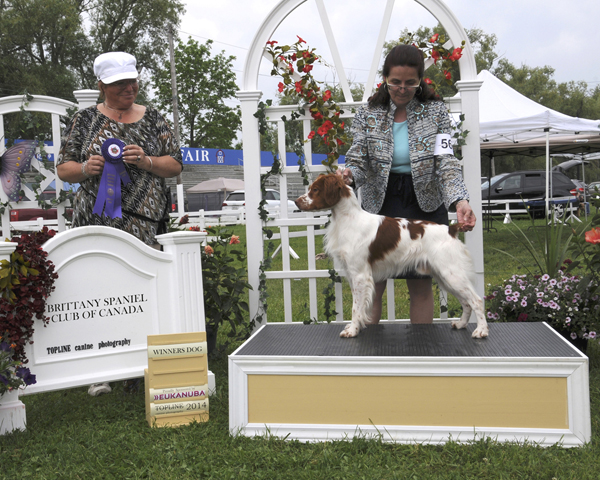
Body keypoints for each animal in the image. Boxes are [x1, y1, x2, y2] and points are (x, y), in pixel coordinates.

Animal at [296, 174, 488, 340]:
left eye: (315, 189)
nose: (297, 201)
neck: (348, 219)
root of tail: (451, 229)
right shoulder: (353, 275)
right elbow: (359, 307)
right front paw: (355, 327)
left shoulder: (360, 275)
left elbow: (356, 307)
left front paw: (352, 330)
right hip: (444, 277)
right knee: (466, 303)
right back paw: (461, 324)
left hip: (452, 273)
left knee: (476, 300)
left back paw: (481, 331)